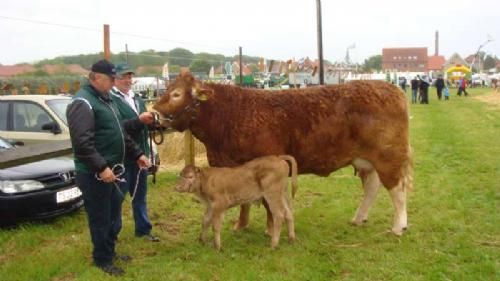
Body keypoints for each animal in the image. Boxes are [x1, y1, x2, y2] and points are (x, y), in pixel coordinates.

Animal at [154, 71, 412, 235]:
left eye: (176, 94)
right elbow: (244, 201)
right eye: (166, 90)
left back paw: (398, 227)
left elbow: (269, 203)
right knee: (372, 186)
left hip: (389, 156)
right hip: (366, 160)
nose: (153, 113)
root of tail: (391, 88)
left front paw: (270, 229)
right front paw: (241, 225)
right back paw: (359, 218)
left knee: (397, 189)